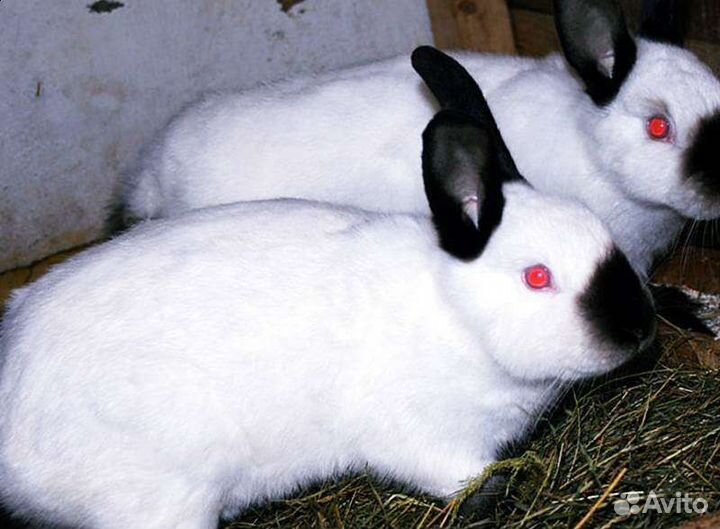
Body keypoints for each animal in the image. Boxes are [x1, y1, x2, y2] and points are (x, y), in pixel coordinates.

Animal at [0, 59, 656, 529]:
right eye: (537, 277)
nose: (641, 328)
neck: (458, 315)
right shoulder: (423, 439)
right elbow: (466, 479)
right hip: (158, 503)